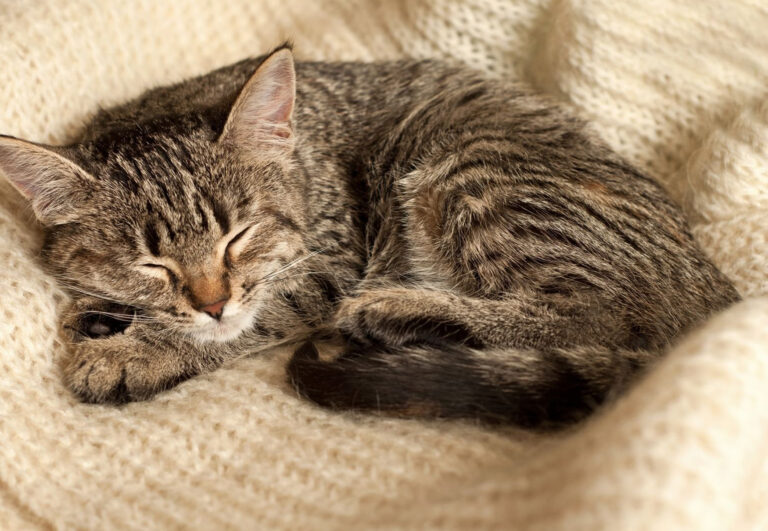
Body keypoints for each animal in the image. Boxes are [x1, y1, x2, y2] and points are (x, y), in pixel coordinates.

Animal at [0, 43, 744, 430]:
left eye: (240, 236)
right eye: (150, 262)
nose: (211, 301)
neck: (304, 158)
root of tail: (714, 299)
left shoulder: (330, 261)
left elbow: (255, 316)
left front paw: (136, 352)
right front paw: (109, 315)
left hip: (475, 172)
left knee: (595, 312)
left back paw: (397, 313)